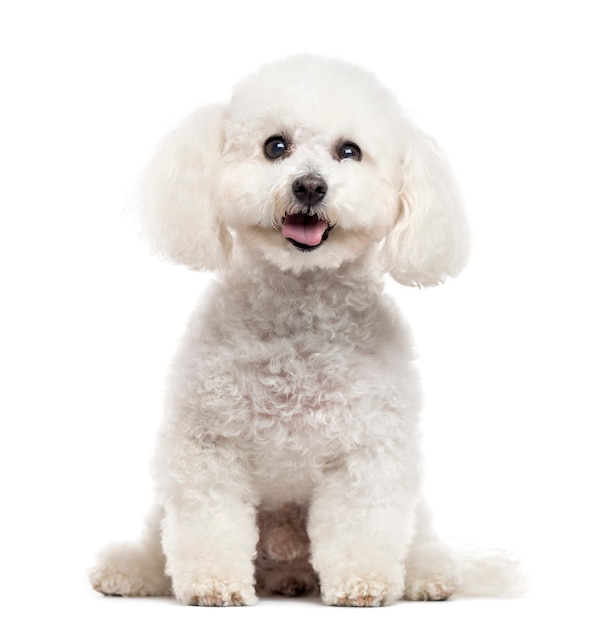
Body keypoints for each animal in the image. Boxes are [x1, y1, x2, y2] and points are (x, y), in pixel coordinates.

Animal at [90, 54, 520, 604]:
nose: (311, 186)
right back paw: (130, 571)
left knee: (417, 539)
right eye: (276, 146)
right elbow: (207, 522)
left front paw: (363, 584)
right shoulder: (208, 445)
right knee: (155, 539)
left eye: (349, 151)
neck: (299, 310)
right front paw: (213, 584)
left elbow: (361, 522)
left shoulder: (368, 450)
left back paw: (426, 577)